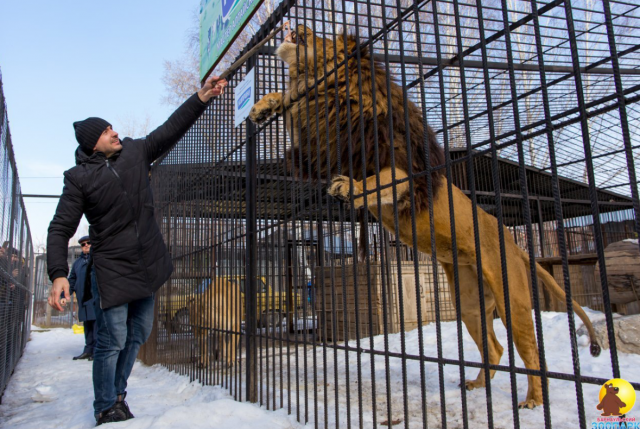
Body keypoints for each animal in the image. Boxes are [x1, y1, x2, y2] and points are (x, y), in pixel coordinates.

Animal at [248, 23, 604, 408]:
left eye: (321, 36)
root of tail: (514, 242)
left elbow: (379, 181)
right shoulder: (321, 143)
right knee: (493, 348)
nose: (300, 27)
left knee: (533, 353)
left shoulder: (406, 174)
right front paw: (264, 105)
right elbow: (288, 105)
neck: (326, 87)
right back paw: (477, 385)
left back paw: (533, 401)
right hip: (469, 302)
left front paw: (350, 187)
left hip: (513, 300)